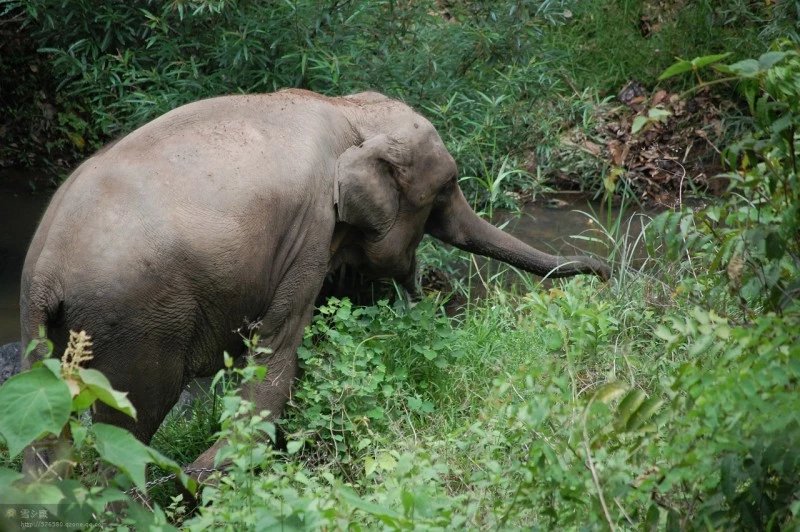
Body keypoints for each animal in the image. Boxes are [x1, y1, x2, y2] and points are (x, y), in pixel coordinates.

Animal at [20, 87, 608, 474]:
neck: (351, 111)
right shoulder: (307, 230)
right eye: (445, 191)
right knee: (131, 421)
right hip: (136, 324)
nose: (602, 272)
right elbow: (277, 357)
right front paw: (203, 477)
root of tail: (44, 272)